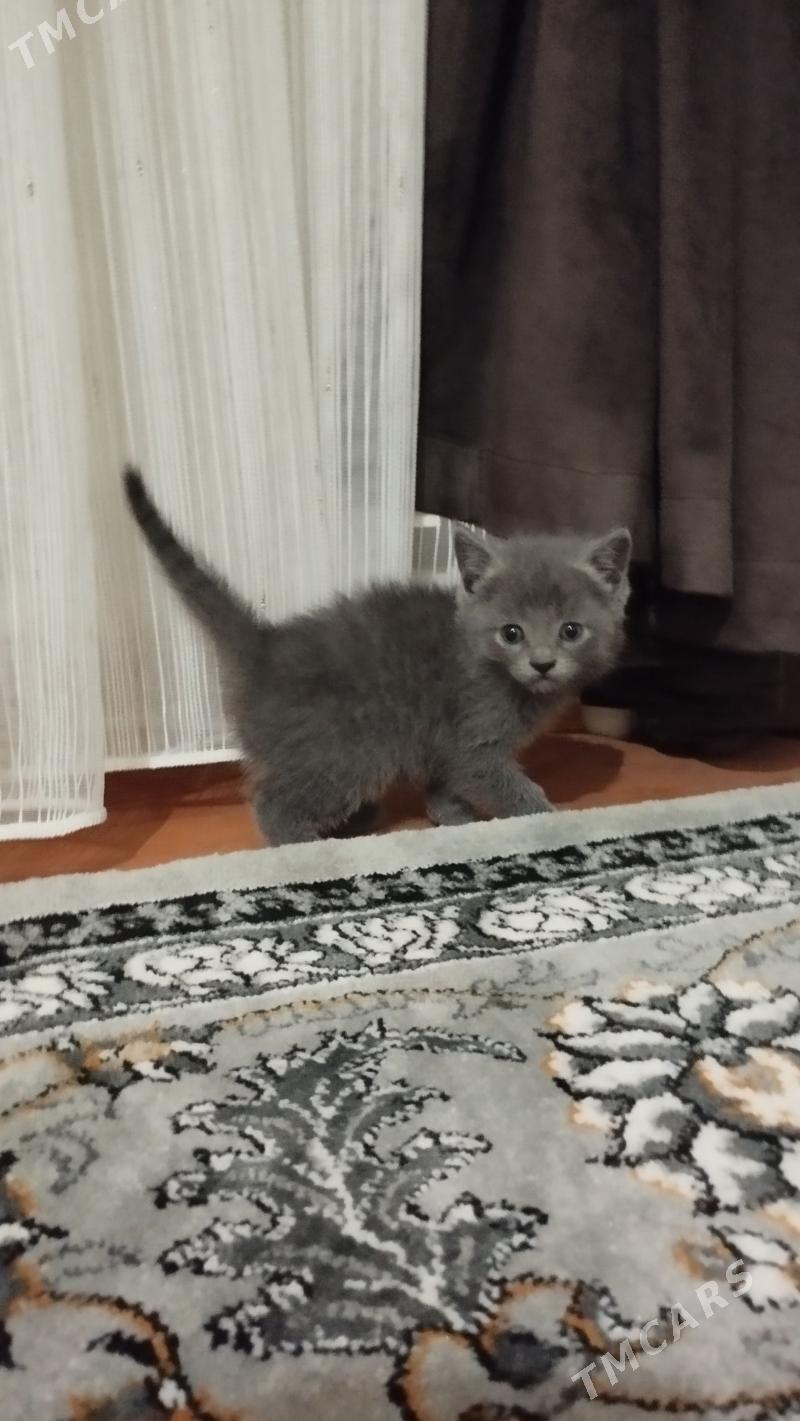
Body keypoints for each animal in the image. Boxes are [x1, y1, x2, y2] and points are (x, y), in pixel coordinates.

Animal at [124, 467, 630, 845]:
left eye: (570, 631)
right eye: (512, 633)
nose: (543, 663)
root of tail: (266, 646)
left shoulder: (444, 739)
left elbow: (446, 782)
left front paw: (452, 818)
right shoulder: (474, 737)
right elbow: (504, 784)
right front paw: (552, 818)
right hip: (347, 751)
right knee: (273, 800)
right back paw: (303, 844)